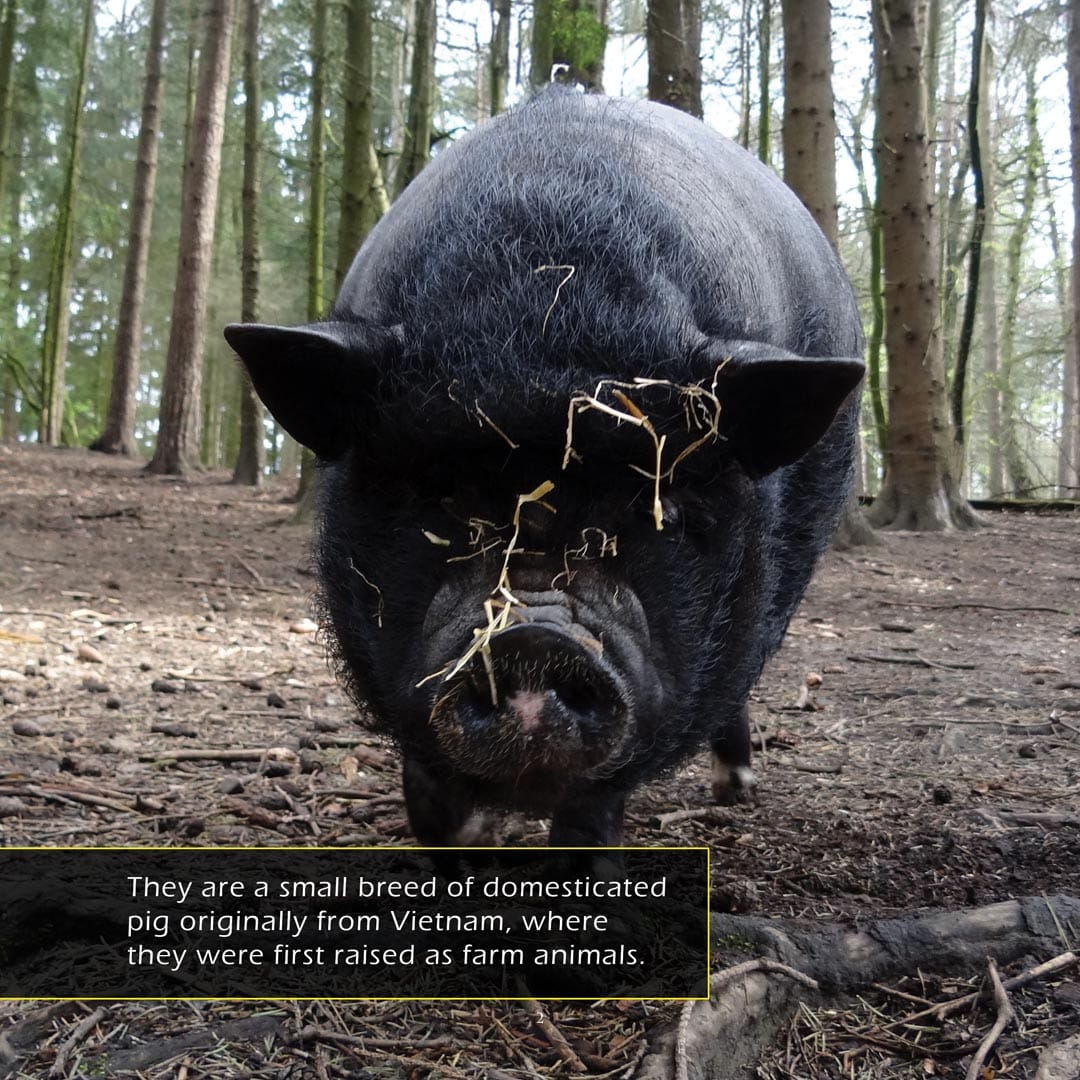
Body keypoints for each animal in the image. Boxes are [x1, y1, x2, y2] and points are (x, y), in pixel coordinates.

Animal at [225, 90, 864, 847]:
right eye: (432, 496)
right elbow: (430, 801)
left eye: (666, 509)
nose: (531, 638)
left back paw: (734, 790)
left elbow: (591, 810)